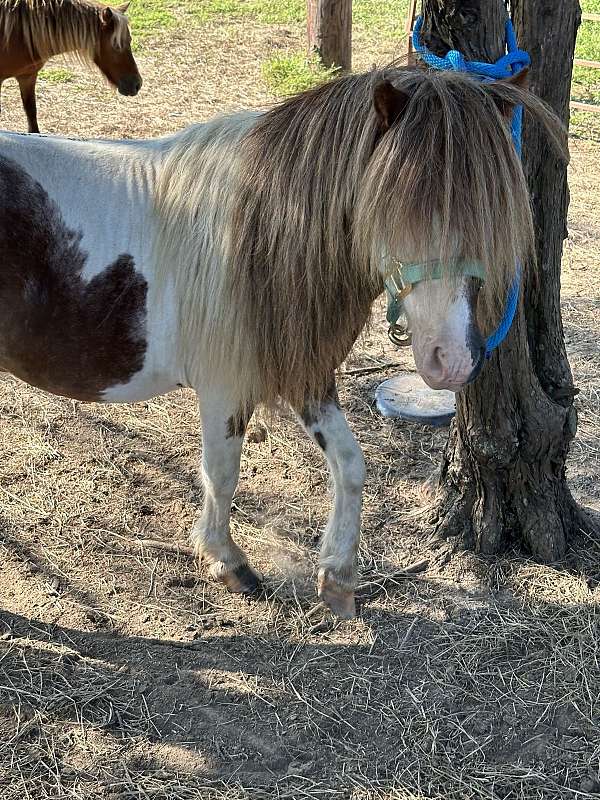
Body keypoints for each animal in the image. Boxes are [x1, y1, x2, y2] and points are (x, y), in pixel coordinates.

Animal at [0, 0, 141, 133]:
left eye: (130, 40)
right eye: (116, 45)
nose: (137, 84)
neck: (19, 33)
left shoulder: (27, 77)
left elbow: (32, 116)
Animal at [0, 66, 566, 617]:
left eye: (493, 217)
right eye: (400, 207)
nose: (453, 360)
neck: (257, 235)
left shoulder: (305, 374)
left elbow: (350, 464)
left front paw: (337, 579)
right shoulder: (226, 389)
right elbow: (222, 473)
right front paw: (227, 562)